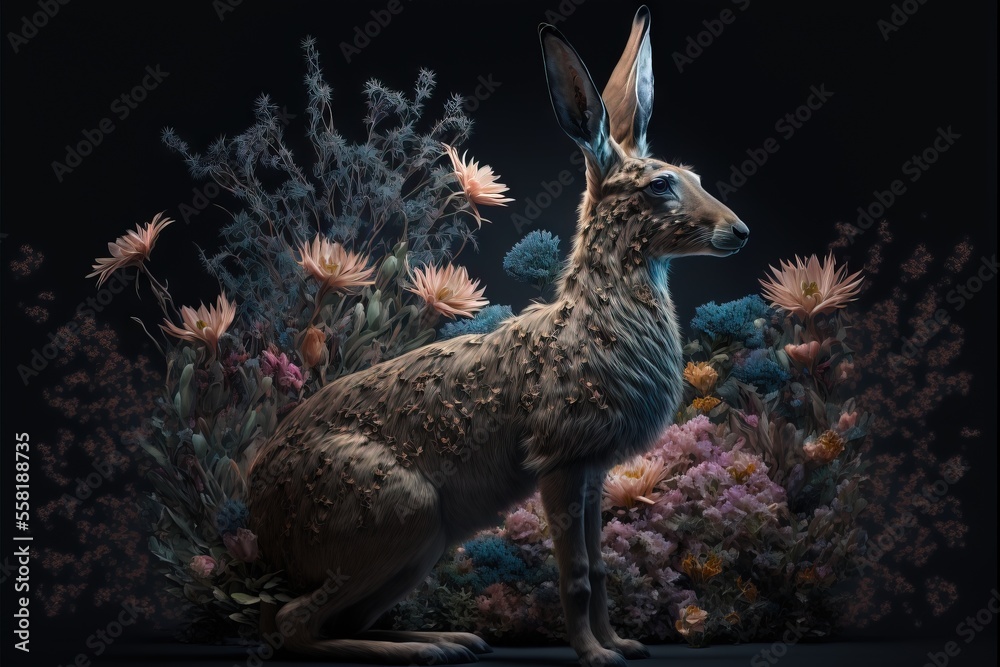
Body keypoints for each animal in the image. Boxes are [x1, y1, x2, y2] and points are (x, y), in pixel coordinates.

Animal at [247, 6, 749, 665]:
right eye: (660, 185)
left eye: (691, 174)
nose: (739, 232)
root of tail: (261, 521)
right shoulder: (562, 462)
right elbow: (577, 572)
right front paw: (595, 655)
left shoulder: (593, 474)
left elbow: (602, 568)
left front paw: (624, 645)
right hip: (396, 515)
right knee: (294, 625)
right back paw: (424, 651)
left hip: (420, 548)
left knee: (332, 620)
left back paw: (451, 641)